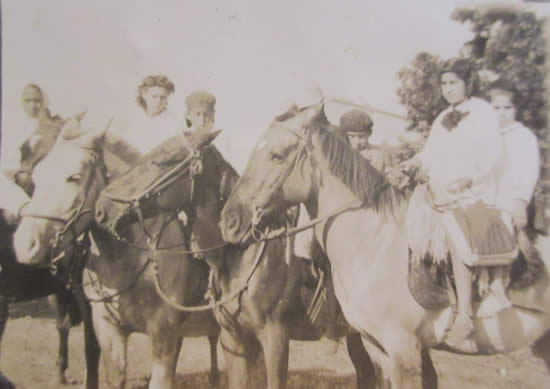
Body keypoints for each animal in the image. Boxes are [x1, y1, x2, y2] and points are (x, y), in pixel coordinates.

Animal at [12, 118, 220, 388]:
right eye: (38, 176)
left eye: (74, 177)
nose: (24, 245)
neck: (127, 260)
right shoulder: (108, 328)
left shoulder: (163, 331)